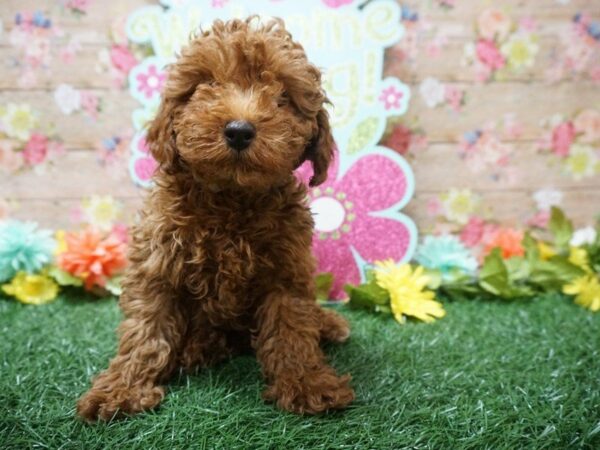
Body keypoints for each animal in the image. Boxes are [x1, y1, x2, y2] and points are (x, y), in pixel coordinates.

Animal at [77, 17, 354, 422]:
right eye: (204, 86)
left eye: (283, 96)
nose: (239, 130)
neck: (230, 199)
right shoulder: (157, 262)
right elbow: (146, 327)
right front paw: (121, 388)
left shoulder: (286, 269)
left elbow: (292, 327)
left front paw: (307, 382)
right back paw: (196, 350)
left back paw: (327, 324)